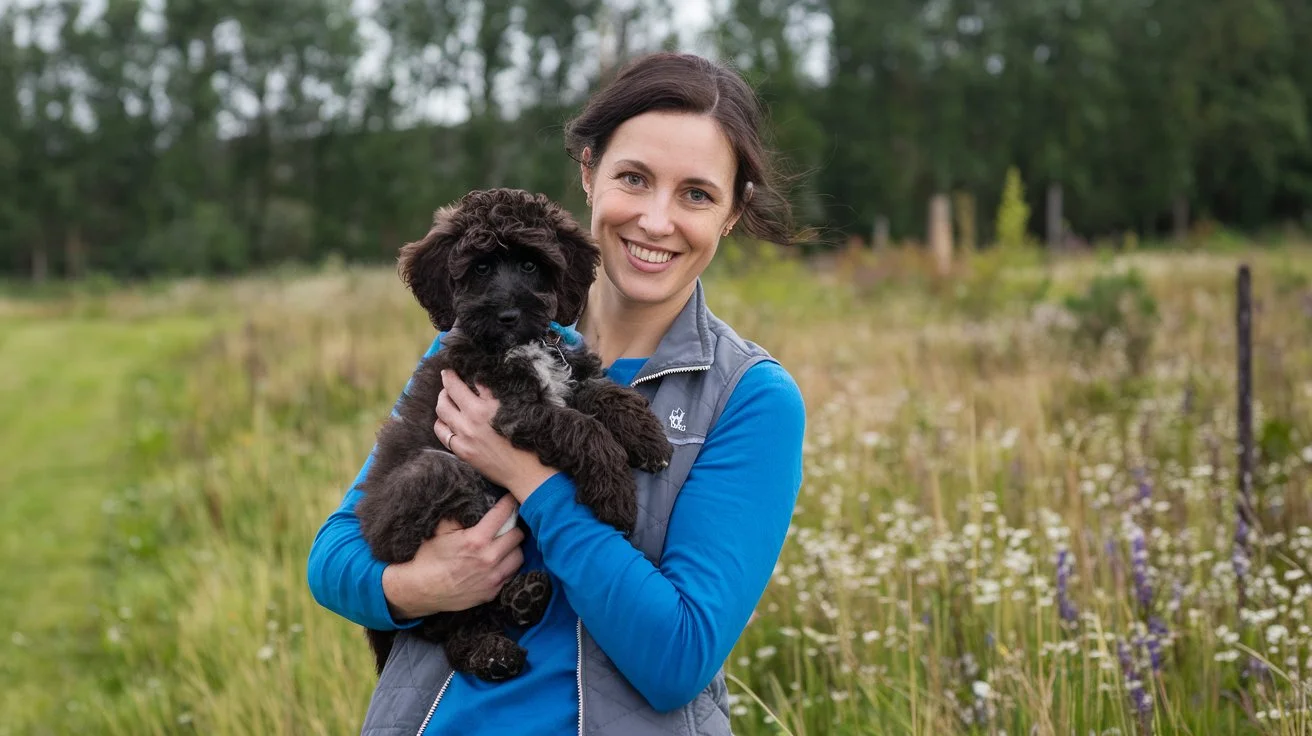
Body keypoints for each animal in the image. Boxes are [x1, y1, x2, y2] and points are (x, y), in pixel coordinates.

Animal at [354, 186, 671, 682]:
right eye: (480, 268)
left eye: (529, 264)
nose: (508, 314)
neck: (522, 345)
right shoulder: (514, 411)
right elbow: (581, 427)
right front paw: (616, 493)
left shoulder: (568, 376)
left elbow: (603, 394)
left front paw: (647, 438)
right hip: (433, 481)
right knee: (453, 621)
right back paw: (495, 650)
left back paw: (523, 602)